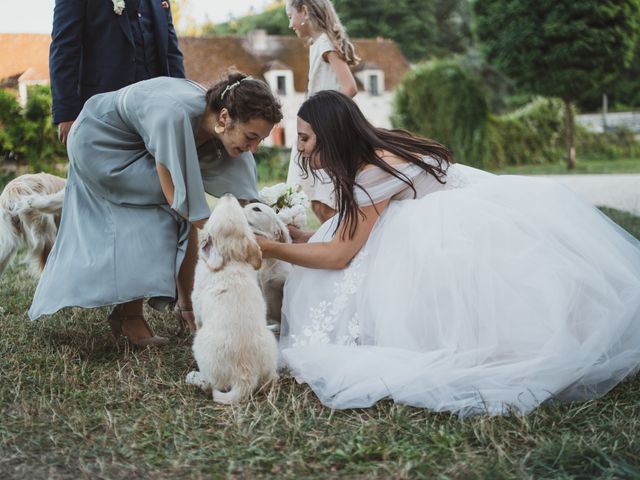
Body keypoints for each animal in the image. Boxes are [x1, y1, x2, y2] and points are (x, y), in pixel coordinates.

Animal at [182, 193, 278, 404]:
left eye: (213, 215)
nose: (228, 195)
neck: (230, 260)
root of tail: (245, 376)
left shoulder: (197, 308)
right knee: (269, 380)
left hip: (200, 347)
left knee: (209, 384)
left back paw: (194, 378)